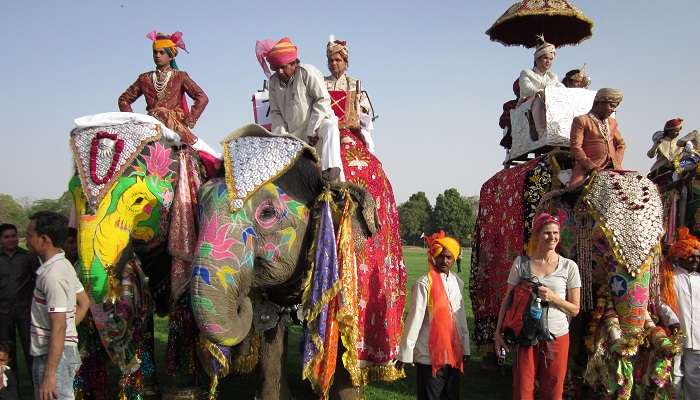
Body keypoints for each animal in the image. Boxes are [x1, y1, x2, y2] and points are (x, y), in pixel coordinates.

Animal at [68, 111, 205, 398]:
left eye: (139, 201)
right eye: (72, 194)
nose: (131, 364)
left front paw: (187, 387)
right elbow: (143, 304)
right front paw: (148, 390)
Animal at [468, 152, 680, 398]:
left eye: (660, 239)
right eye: (600, 240)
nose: (630, 347)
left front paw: (585, 387)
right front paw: (569, 389)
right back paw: (493, 363)